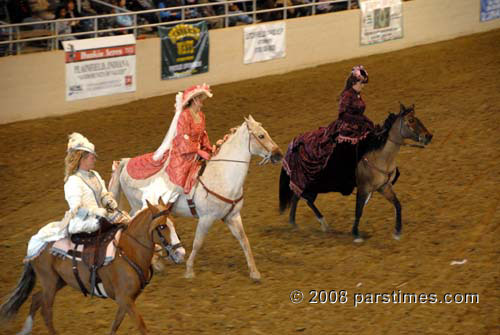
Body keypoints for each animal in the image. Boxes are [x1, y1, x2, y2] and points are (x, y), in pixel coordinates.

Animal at [0, 198, 176, 334]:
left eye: (172, 223)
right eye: (162, 226)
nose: (178, 249)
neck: (128, 251)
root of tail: (37, 240)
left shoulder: (127, 300)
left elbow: (115, 325)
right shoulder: (124, 299)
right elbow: (141, 326)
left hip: (59, 281)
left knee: (36, 299)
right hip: (49, 281)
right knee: (46, 310)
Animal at [109, 115, 282, 280]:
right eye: (261, 135)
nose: (278, 155)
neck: (222, 174)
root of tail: (126, 162)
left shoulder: (232, 216)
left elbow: (244, 240)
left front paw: (254, 272)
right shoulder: (206, 218)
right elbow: (198, 243)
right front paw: (189, 271)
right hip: (140, 206)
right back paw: (155, 262)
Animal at [280, 103, 432, 243]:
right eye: (411, 120)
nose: (428, 136)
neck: (380, 157)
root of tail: (294, 142)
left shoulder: (384, 187)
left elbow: (398, 205)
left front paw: (397, 232)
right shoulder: (363, 188)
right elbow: (359, 210)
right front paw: (356, 234)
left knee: (297, 197)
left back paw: (294, 222)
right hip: (309, 182)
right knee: (306, 198)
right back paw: (323, 223)